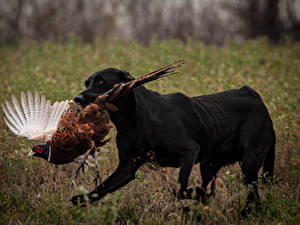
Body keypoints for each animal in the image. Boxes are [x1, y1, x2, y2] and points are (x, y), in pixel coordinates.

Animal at [71, 68, 276, 211]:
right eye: (87, 83)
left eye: (101, 82)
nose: (77, 98)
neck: (132, 120)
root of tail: (255, 97)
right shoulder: (126, 169)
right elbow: (100, 189)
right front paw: (79, 199)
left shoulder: (189, 151)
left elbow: (180, 189)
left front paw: (193, 193)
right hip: (209, 165)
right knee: (212, 192)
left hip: (249, 163)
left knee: (253, 196)